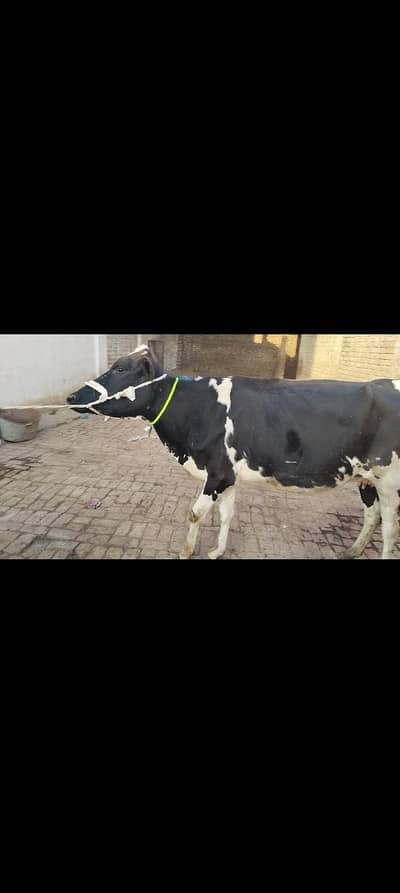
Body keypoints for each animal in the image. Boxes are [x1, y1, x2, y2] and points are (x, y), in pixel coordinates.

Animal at [67, 344, 400, 560]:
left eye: (120, 369)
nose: (71, 396)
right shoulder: (229, 474)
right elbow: (226, 514)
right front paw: (217, 550)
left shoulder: (216, 472)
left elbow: (195, 513)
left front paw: (186, 551)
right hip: (366, 477)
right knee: (372, 516)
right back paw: (353, 550)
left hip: (389, 480)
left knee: (389, 529)